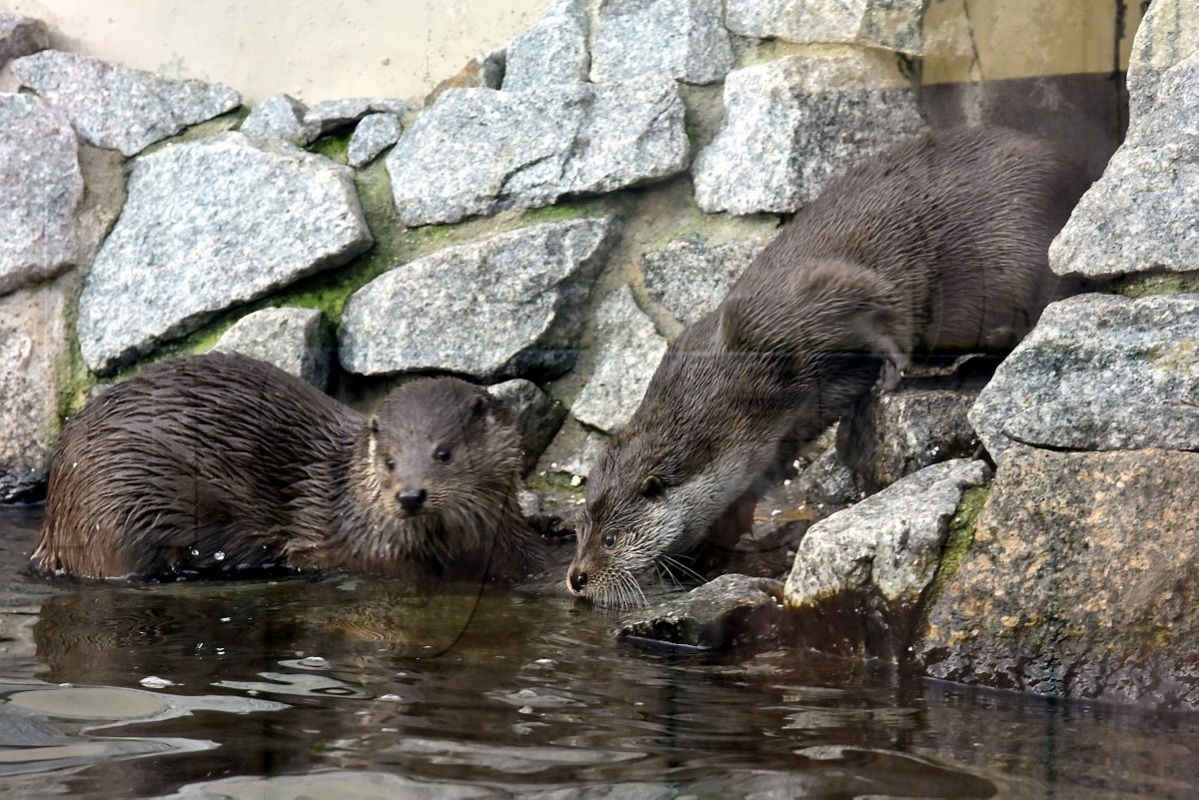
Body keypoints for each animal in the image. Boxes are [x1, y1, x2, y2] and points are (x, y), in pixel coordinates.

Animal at [570, 125, 1098, 606]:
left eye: (611, 539)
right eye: (579, 528)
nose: (577, 577)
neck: (727, 385)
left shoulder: (793, 310)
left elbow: (880, 309)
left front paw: (893, 370)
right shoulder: (776, 434)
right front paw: (713, 547)